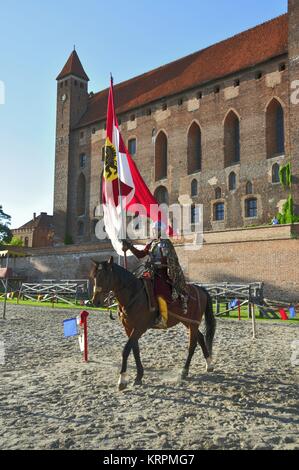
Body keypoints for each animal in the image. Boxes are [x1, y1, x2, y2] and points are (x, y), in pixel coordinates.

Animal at [91, 255, 216, 392]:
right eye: (95, 276)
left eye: (105, 276)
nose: (95, 301)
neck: (133, 293)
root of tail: (200, 288)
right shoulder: (129, 328)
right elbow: (135, 350)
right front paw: (139, 376)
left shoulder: (139, 328)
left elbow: (126, 350)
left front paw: (122, 380)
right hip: (188, 322)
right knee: (200, 337)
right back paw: (209, 365)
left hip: (192, 323)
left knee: (192, 345)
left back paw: (185, 370)